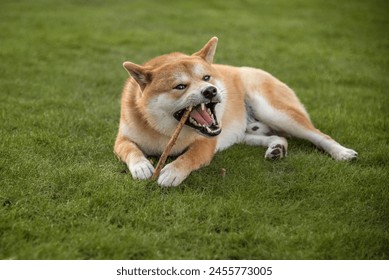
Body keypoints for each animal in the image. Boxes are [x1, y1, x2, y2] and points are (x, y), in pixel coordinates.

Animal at [113, 36, 356, 186]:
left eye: (206, 78)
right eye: (180, 86)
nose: (210, 91)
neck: (164, 133)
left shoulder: (206, 144)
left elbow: (189, 157)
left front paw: (172, 172)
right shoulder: (121, 139)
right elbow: (130, 149)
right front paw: (141, 166)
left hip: (276, 112)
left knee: (319, 135)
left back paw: (342, 153)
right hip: (245, 133)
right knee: (278, 137)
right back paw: (277, 149)